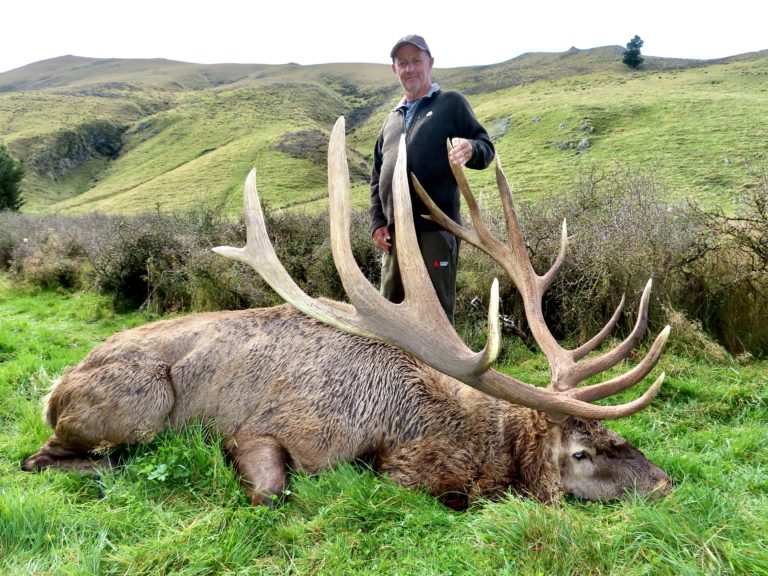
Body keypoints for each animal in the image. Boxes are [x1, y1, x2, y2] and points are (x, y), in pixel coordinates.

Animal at [21, 117, 672, 509]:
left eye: (617, 435)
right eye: (581, 454)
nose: (664, 480)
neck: (401, 431)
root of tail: (54, 389)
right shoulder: (269, 429)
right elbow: (272, 490)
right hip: (139, 407)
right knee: (42, 457)